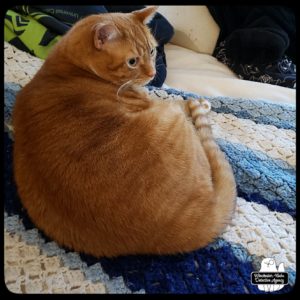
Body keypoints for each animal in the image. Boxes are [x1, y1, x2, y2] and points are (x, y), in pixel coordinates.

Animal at [12, 6, 237, 258]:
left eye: (152, 50)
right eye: (132, 61)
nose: (152, 74)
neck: (70, 67)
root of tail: (202, 222)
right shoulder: (160, 104)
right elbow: (176, 100)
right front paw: (195, 102)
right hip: (174, 121)